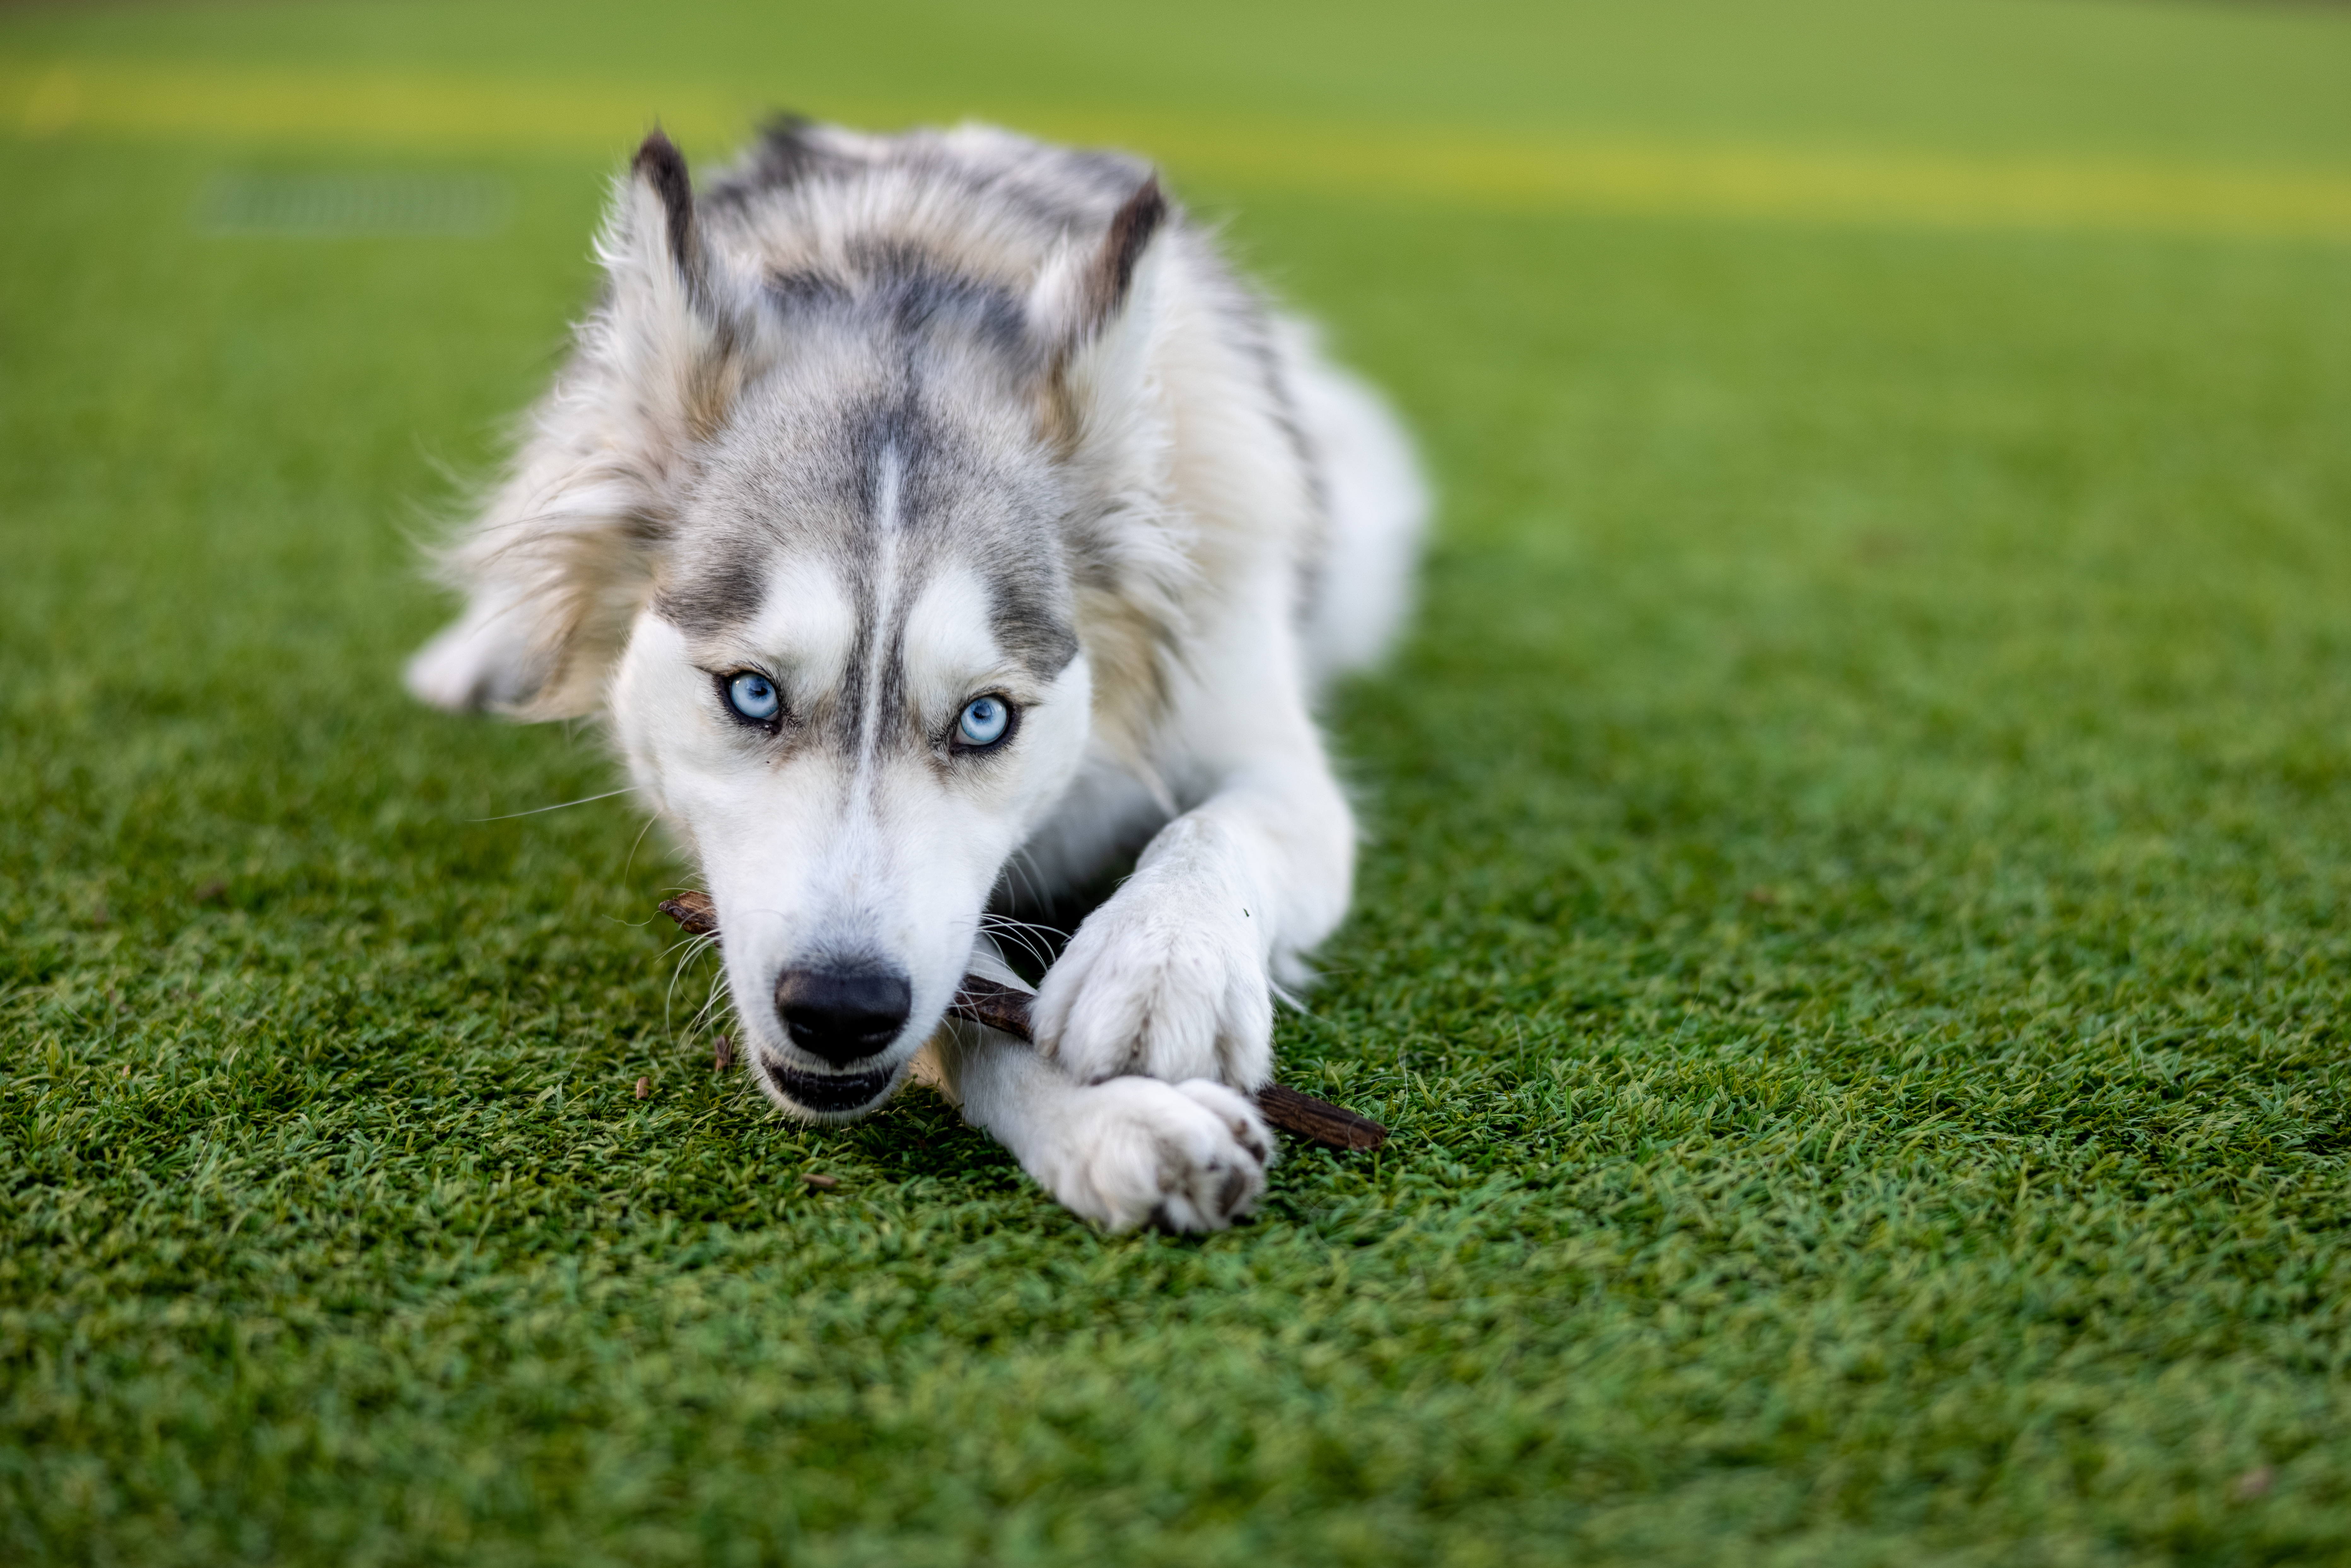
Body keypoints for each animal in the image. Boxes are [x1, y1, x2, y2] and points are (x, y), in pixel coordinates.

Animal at [406, 120, 1420, 1222]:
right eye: (752, 694)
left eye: (985, 719)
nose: (840, 1011)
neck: (912, 275)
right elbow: (973, 994)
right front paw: (1111, 1116)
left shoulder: (1272, 748)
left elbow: (1214, 828)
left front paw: (1160, 964)